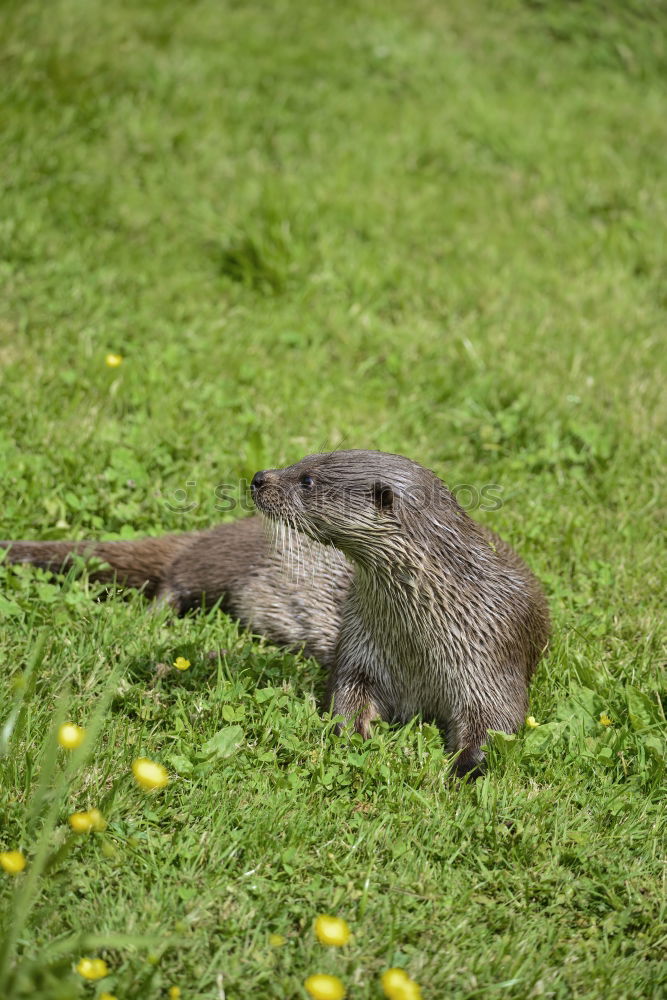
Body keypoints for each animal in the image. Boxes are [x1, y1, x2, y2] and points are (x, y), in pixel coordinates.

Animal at [2, 452, 552, 772]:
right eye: (303, 459)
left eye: (307, 479)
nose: (259, 478)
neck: (419, 639)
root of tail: (217, 532)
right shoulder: (361, 649)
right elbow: (347, 692)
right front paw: (351, 733)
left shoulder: (492, 653)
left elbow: (497, 721)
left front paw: (467, 767)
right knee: (174, 579)